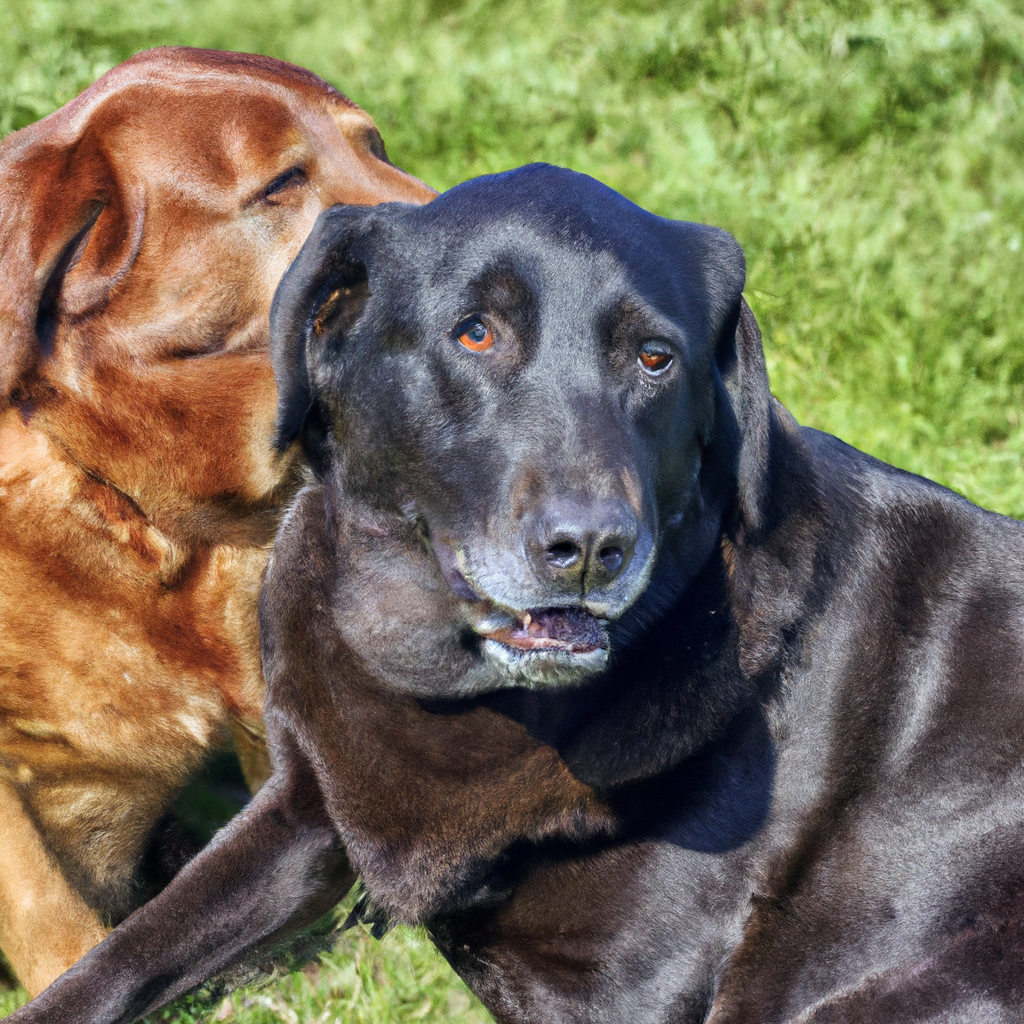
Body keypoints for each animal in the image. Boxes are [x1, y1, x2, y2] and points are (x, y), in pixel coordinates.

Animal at [12, 163, 1024, 1019]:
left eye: (655, 357)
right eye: (475, 332)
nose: (592, 548)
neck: (448, 689)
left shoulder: (621, 988)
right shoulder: (301, 814)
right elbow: (124, 955)